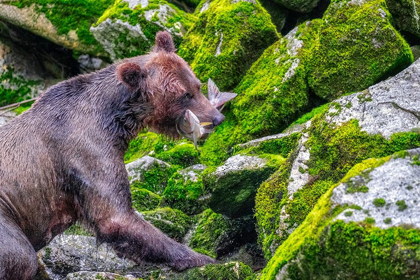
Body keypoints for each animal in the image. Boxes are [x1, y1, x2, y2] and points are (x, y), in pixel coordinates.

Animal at [0, 31, 225, 278]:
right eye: (185, 95)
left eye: (197, 85)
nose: (217, 117)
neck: (115, 119)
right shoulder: (84, 151)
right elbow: (115, 217)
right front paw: (200, 257)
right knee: (23, 256)